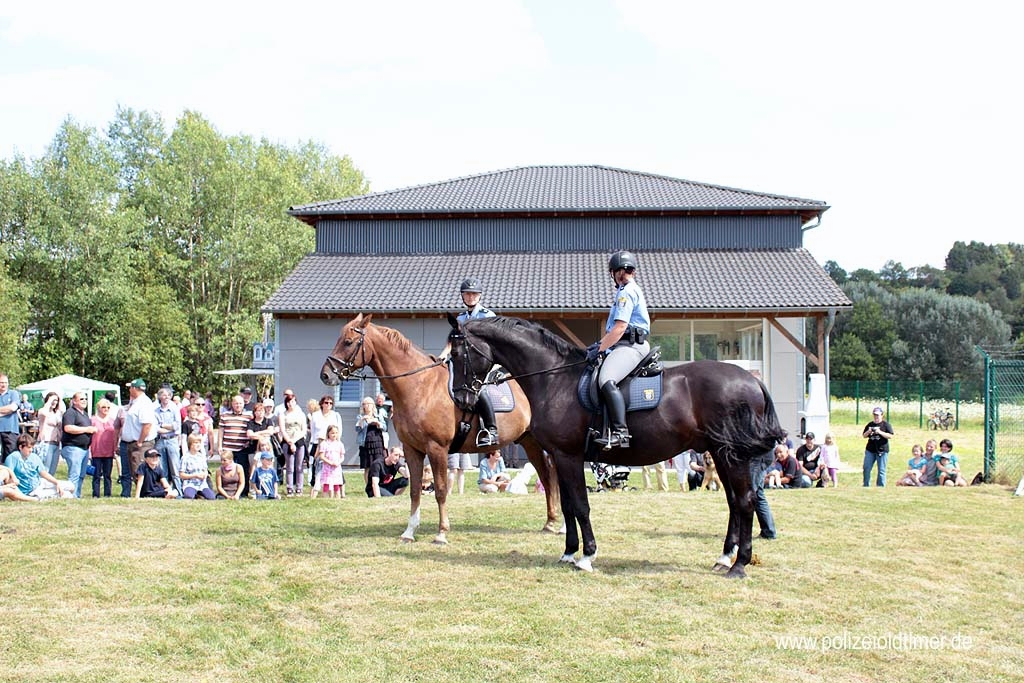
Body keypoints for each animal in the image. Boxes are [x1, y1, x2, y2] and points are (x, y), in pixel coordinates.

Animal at [319, 315, 561, 544]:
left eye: (348, 342)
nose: (326, 375)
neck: (419, 386)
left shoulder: (437, 449)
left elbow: (442, 490)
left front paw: (441, 533)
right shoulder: (412, 449)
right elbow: (415, 490)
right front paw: (409, 532)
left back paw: (560, 526)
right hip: (529, 442)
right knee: (547, 476)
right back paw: (550, 522)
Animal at [448, 315, 782, 577]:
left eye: (458, 353)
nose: (462, 399)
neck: (555, 378)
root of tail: (752, 380)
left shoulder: (568, 456)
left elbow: (580, 506)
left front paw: (587, 556)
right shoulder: (559, 456)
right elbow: (568, 505)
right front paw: (568, 552)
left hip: (731, 454)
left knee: (745, 501)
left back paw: (739, 565)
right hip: (719, 453)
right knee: (734, 502)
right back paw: (724, 557)